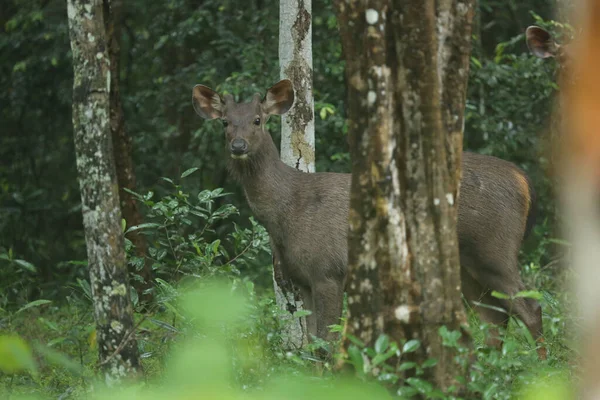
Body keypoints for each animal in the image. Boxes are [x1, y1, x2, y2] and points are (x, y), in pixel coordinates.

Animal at [193, 79, 548, 360]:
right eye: (225, 122)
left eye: (257, 120)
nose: (238, 145)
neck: (286, 212)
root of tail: (523, 179)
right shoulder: (301, 278)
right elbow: (312, 345)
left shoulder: (329, 270)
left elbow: (327, 341)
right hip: (467, 265)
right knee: (494, 317)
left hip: (495, 249)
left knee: (530, 307)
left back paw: (542, 368)